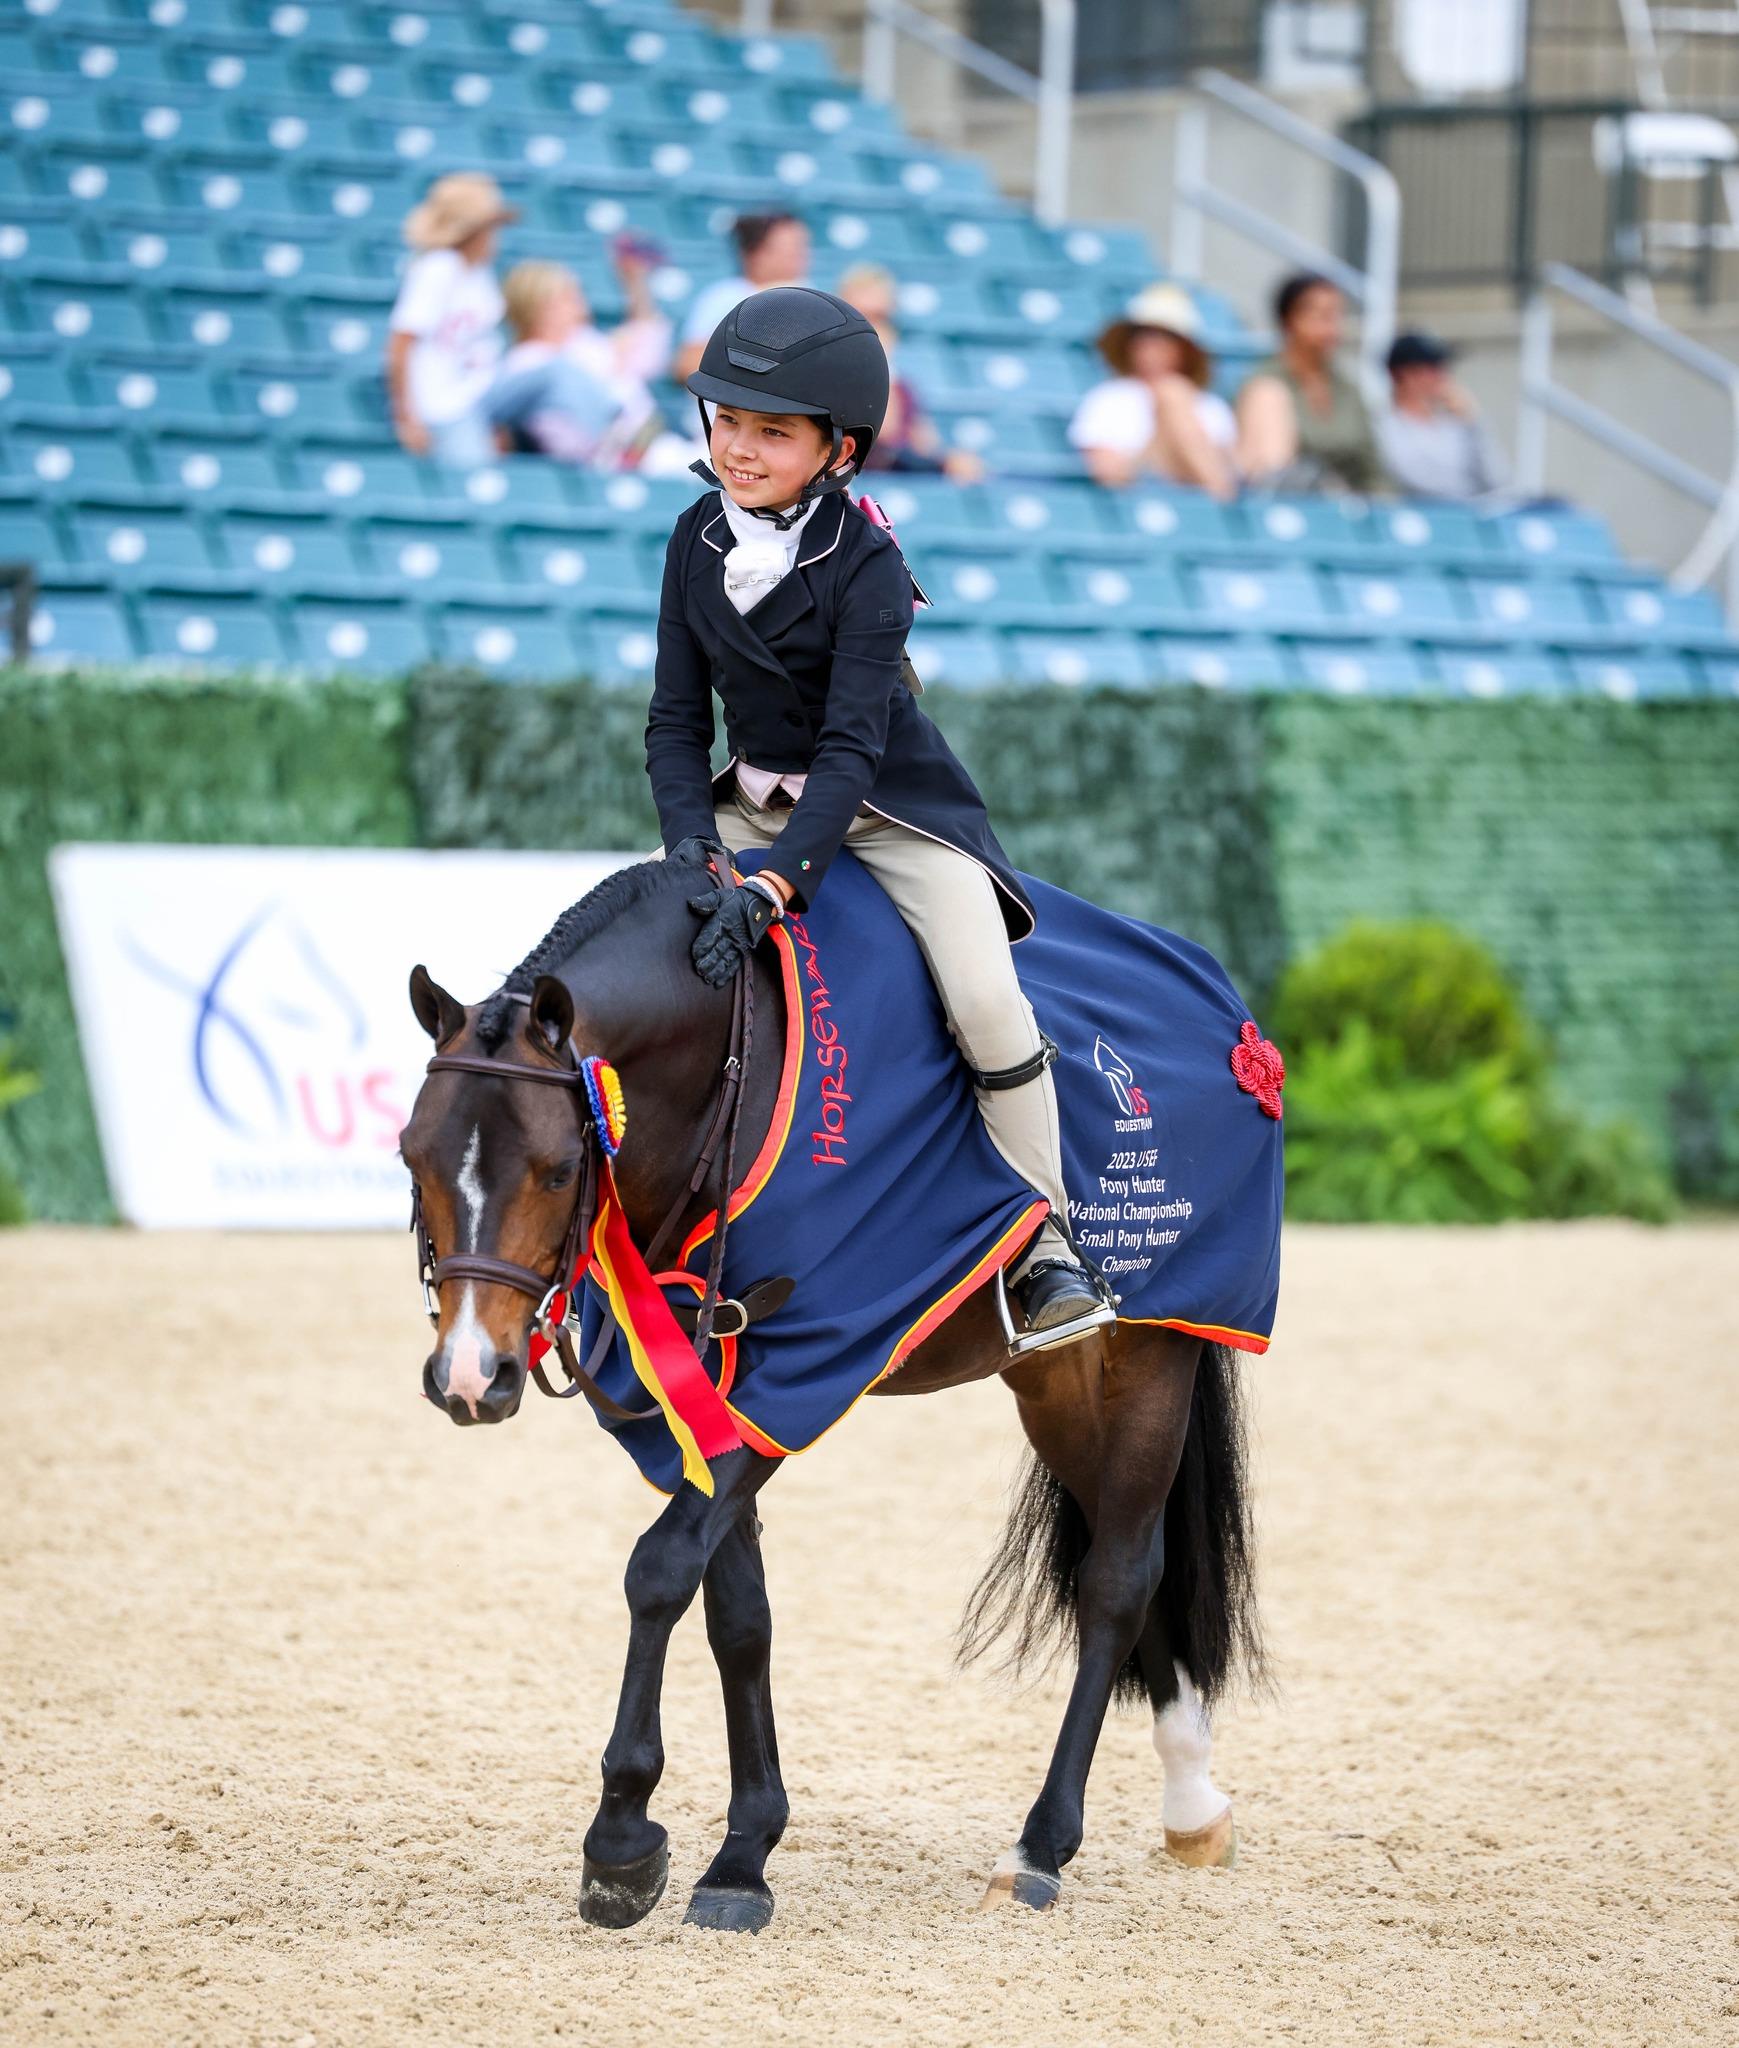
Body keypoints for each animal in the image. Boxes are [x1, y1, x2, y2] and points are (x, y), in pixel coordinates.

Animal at [399, 857, 1262, 1928]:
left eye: (559, 1171)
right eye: (412, 1156)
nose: (469, 1375)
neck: (727, 1077)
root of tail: (1229, 1017)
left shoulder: (806, 1365)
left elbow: (658, 1571)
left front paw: (622, 1840)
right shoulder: (703, 1394)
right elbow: (737, 1613)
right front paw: (742, 1855)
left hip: (1149, 1357)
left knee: (1117, 1580)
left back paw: (1041, 1847)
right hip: (1061, 1381)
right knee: (1125, 1559)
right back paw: (1192, 1803)